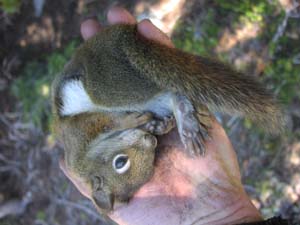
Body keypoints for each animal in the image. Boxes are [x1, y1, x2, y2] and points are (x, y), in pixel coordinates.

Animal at [51, 24, 284, 213]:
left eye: (121, 162)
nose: (151, 141)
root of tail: (126, 34)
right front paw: (158, 126)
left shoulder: (79, 133)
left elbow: (107, 122)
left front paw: (130, 122)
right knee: (172, 95)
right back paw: (186, 121)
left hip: (107, 83)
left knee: (167, 89)